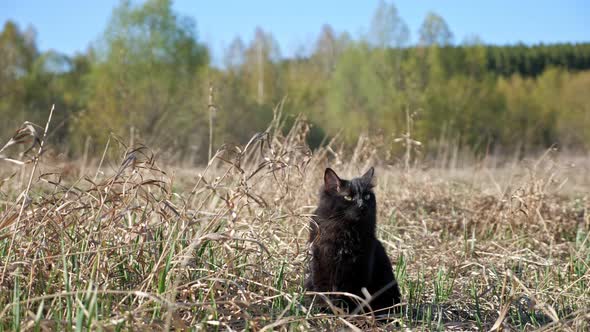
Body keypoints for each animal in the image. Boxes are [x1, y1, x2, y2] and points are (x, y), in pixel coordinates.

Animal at [306, 167, 402, 316]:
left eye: (367, 196)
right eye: (348, 197)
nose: (362, 206)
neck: (346, 233)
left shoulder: (358, 271)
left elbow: (351, 297)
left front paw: (348, 315)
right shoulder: (321, 266)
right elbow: (323, 293)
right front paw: (326, 312)